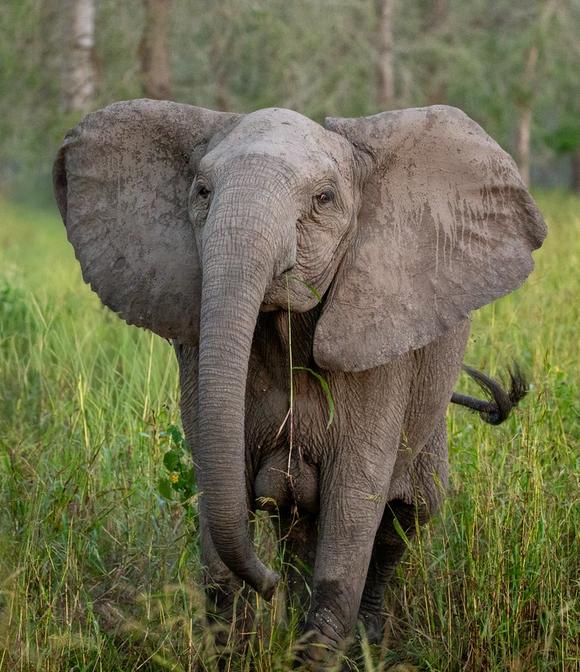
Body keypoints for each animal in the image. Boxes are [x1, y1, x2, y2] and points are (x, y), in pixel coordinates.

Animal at [53, 100, 546, 666]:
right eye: (201, 191)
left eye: (324, 199)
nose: (265, 582)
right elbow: (221, 490)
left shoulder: (380, 349)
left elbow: (353, 505)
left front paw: (312, 649)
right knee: (300, 527)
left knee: (404, 519)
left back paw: (366, 642)